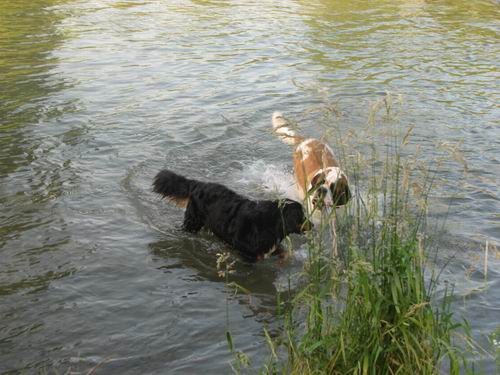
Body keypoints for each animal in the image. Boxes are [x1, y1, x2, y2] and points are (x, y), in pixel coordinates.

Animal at [152, 170, 310, 262]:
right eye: (301, 216)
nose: (313, 225)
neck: (269, 222)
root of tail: (198, 184)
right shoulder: (246, 252)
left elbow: (282, 251)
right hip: (193, 222)